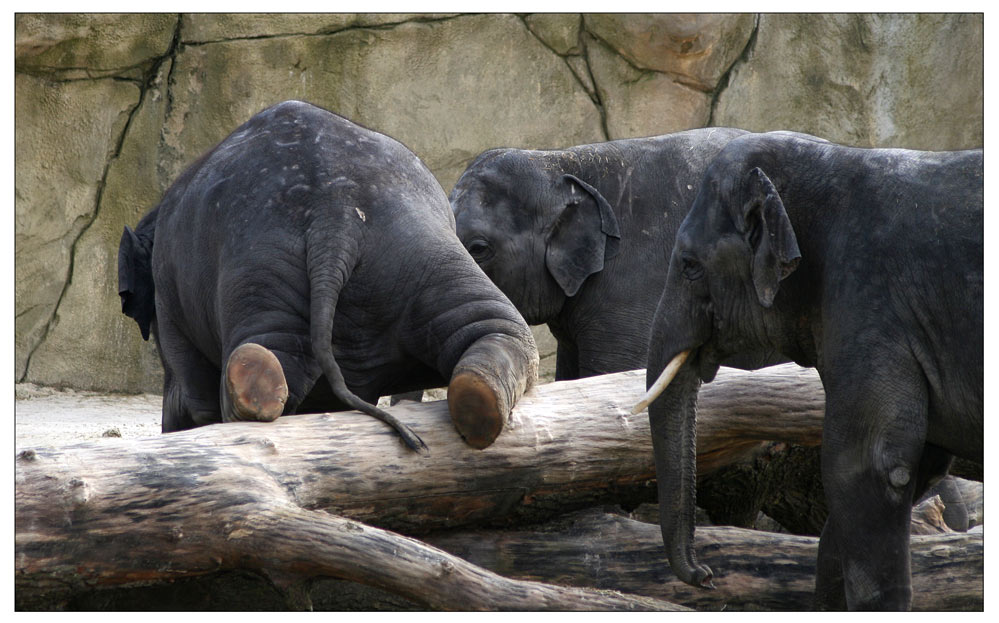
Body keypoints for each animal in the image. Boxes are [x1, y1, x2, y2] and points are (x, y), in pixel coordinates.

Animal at [117, 102, 540, 454]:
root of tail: (334, 212)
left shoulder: (167, 300)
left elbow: (191, 390)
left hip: (264, 256)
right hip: (411, 243)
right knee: (496, 325)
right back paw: (478, 404)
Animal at [636, 130, 980, 608]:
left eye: (689, 265)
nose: (706, 576)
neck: (832, 159)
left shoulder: (869, 307)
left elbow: (863, 467)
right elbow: (911, 467)